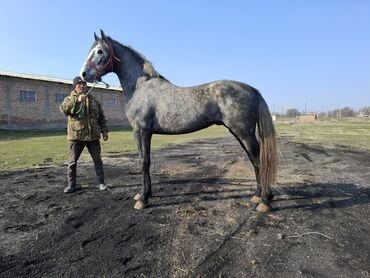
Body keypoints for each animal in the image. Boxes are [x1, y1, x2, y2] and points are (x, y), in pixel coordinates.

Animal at [81, 30, 278, 212]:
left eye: (99, 51)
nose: (84, 74)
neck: (141, 87)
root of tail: (252, 89)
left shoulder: (141, 131)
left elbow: (144, 163)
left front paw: (143, 199)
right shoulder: (145, 133)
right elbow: (146, 161)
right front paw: (145, 193)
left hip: (244, 133)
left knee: (259, 161)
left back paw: (264, 201)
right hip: (239, 133)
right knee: (254, 160)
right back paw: (258, 195)